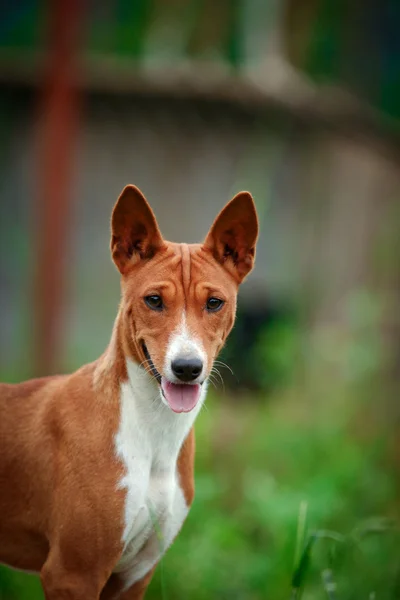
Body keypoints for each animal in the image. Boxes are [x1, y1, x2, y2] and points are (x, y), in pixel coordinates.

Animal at [0, 185, 260, 596]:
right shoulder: (72, 574)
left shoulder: (134, 575)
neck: (153, 434)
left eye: (214, 302)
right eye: (154, 300)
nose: (187, 368)